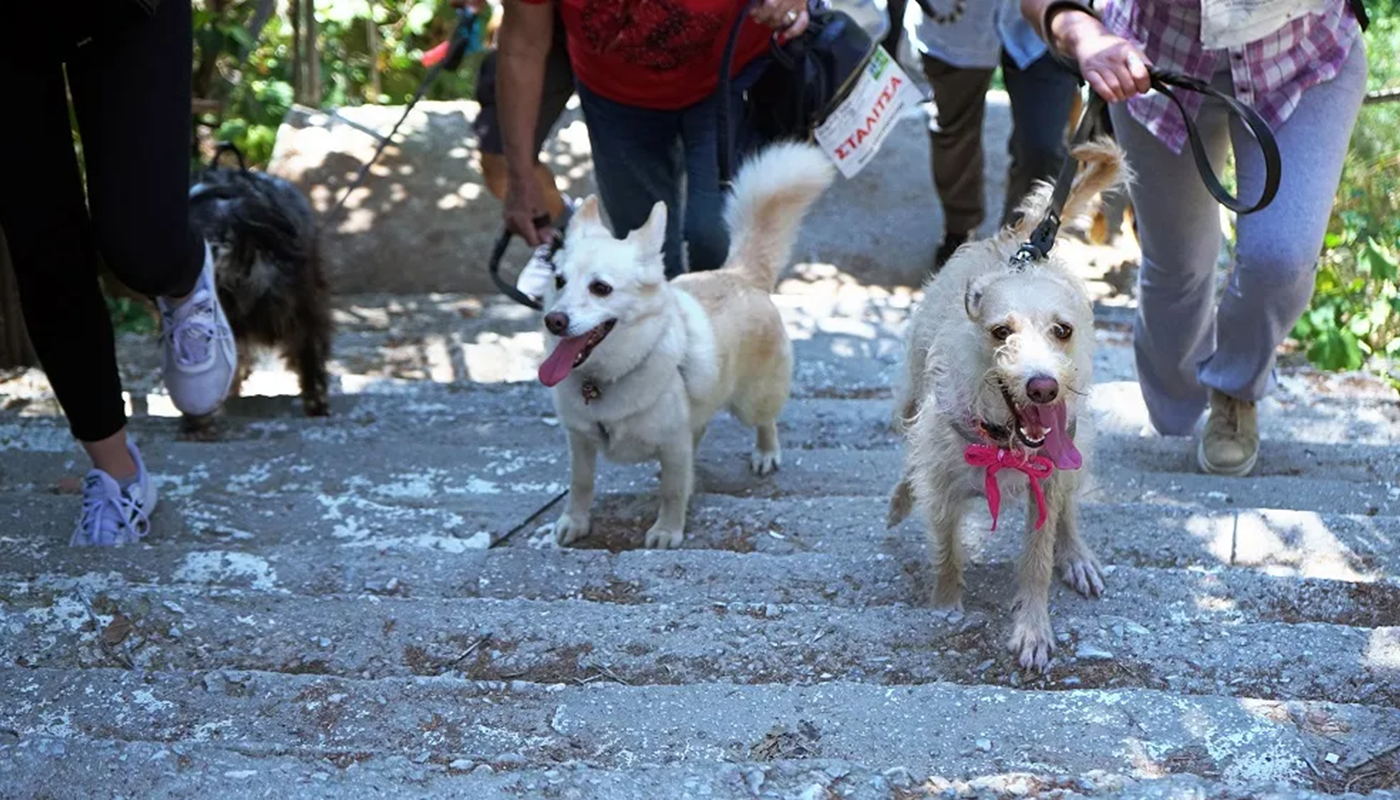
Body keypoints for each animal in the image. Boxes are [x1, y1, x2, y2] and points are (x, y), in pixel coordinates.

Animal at [537, 139, 834, 552]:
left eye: (601, 288)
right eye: (559, 281)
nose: (555, 320)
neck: (602, 380)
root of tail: (741, 274)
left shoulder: (673, 444)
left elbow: (673, 491)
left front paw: (667, 529)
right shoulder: (580, 441)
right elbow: (580, 485)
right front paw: (575, 521)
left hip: (750, 402)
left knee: (765, 420)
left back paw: (765, 452)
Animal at [890, 140, 1131, 672]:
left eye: (1062, 330)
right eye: (1002, 331)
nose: (1042, 387)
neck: (1002, 440)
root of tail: (1020, 245)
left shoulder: (1048, 479)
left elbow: (1038, 558)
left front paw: (1033, 629)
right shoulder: (942, 485)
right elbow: (946, 549)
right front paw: (945, 603)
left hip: (1075, 447)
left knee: (1069, 507)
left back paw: (1076, 554)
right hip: (911, 392)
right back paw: (900, 497)